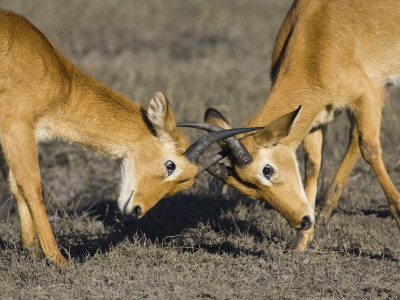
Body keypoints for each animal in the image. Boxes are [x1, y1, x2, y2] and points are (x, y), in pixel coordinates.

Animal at [0, 10, 262, 268]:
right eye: (170, 165)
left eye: (181, 185)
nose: (137, 210)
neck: (58, 79)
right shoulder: (17, 126)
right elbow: (30, 184)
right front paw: (58, 259)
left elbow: (15, 184)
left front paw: (31, 251)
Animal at [180, 0, 400, 248]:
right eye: (249, 190)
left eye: (267, 170)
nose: (302, 221)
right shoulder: (316, 116)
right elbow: (313, 164)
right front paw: (301, 242)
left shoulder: (369, 96)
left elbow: (370, 150)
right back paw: (324, 209)